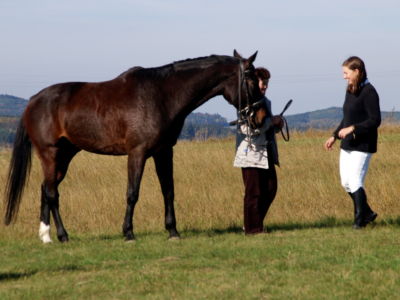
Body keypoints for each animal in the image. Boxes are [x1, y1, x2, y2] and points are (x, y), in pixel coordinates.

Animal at [3, 48, 266, 241]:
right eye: (252, 81)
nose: (259, 116)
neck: (161, 95)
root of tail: (33, 101)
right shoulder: (137, 153)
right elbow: (132, 192)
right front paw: (128, 232)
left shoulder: (164, 152)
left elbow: (168, 190)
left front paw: (173, 231)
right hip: (50, 154)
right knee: (51, 192)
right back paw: (62, 235)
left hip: (64, 156)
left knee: (45, 189)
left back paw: (46, 236)